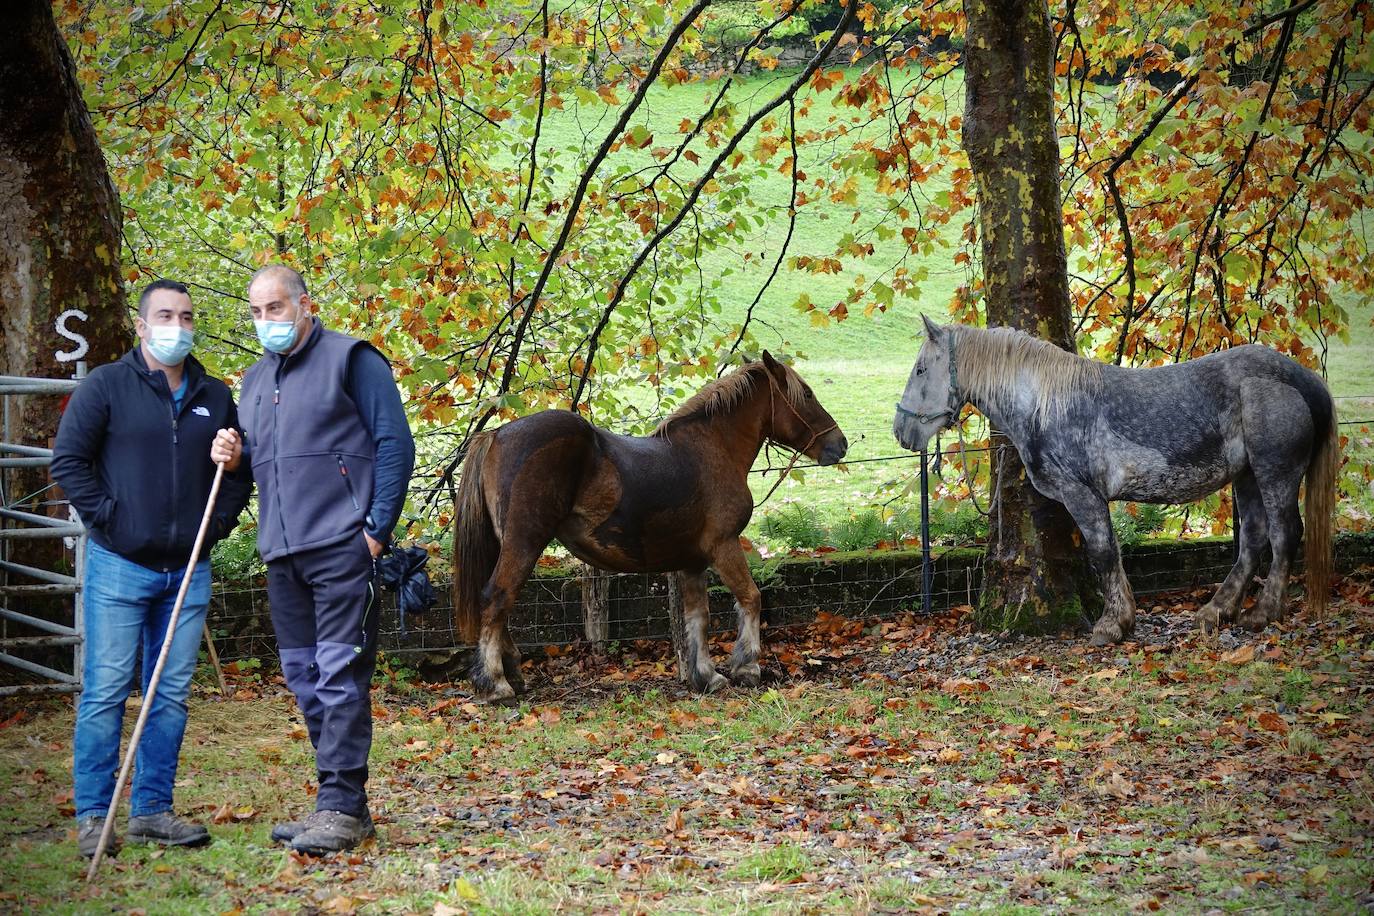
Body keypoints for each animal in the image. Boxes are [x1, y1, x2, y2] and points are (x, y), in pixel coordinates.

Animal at [450, 351, 846, 703]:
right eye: (807, 394)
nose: (839, 444)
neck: (712, 448)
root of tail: (496, 435)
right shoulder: (724, 545)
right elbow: (750, 597)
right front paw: (746, 667)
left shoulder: (693, 562)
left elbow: (698, 618)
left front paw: (706, 676)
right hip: (524, 541)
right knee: (496, 598)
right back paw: (495, 683)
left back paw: (511, 674)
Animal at [895, 321, 1335, 645]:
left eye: (920, 369)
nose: (901, 430)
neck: (1047, 403)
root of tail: (1304, 379)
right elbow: (1111, 554)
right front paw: (1123, 619)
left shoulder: (1084, 495)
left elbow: (1104, 554)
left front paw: (1112, 625)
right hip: (1247, 476)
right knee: (1253, 538)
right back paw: (1217, 610)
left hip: (1275, 471)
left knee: (1284, 534)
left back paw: (1262, 613)